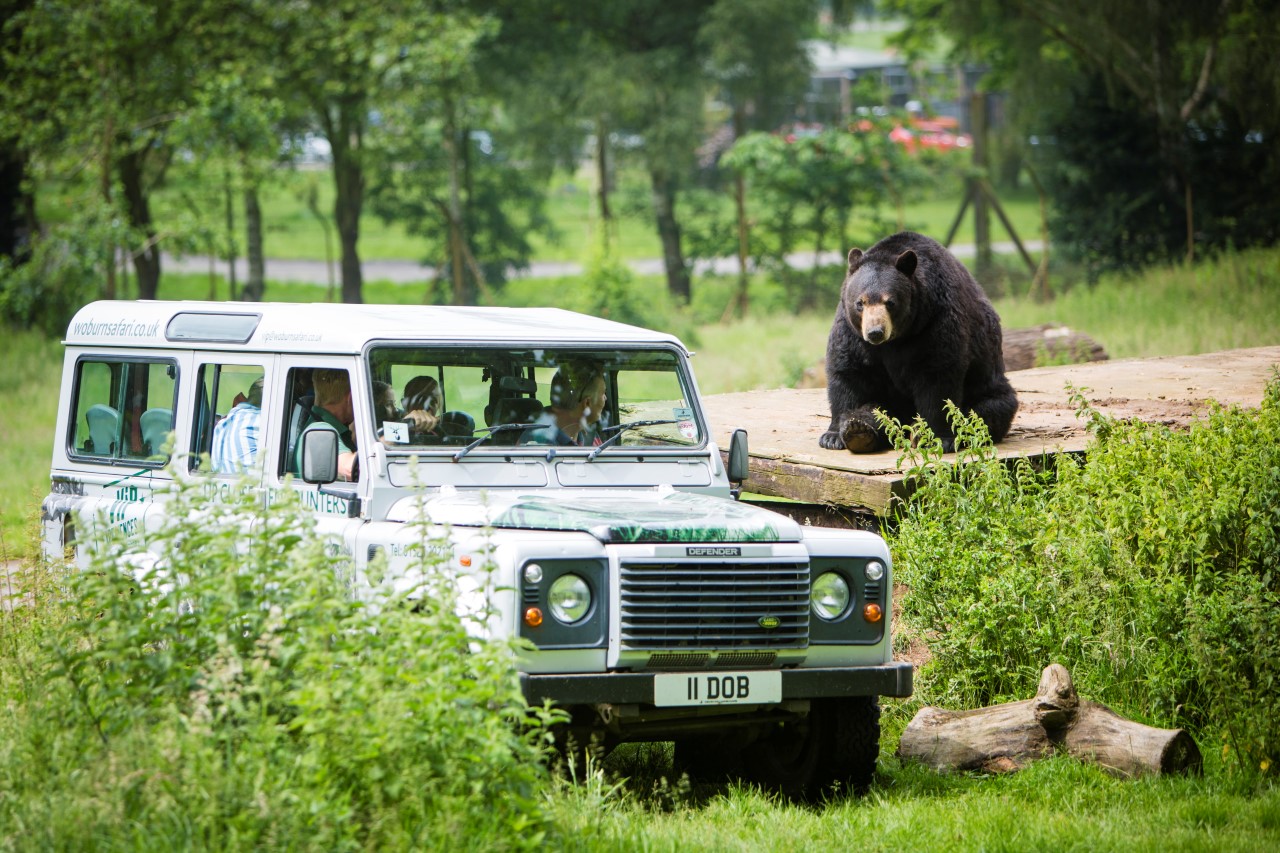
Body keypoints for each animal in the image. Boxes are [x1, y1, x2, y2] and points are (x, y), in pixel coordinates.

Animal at [819, 229, 1018, 448]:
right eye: (860, 303)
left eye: (890, 302)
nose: (875, 332)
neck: (897, 338)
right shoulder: (852, 331)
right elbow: (849, 373)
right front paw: (833, 436)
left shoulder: (935, 321)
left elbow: (938, 375)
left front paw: (939, 437)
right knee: (877, 410)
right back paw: (860, 430)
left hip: (987, 383)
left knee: (989, 409)